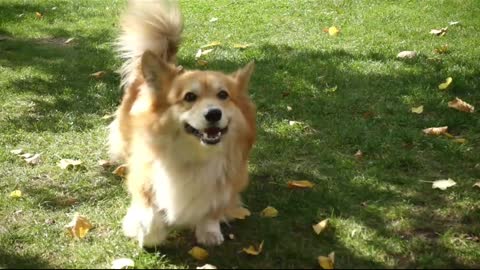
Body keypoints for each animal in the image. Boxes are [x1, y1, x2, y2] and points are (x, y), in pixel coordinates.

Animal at [108, 0, 256, 248]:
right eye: (189, 97)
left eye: (223, 95)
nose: (214, 114)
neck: (195, 156)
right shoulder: (144, 177)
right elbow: (149, 218)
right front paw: (147, 233)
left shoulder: (229, 183)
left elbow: (213, 209)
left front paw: (209, 230)